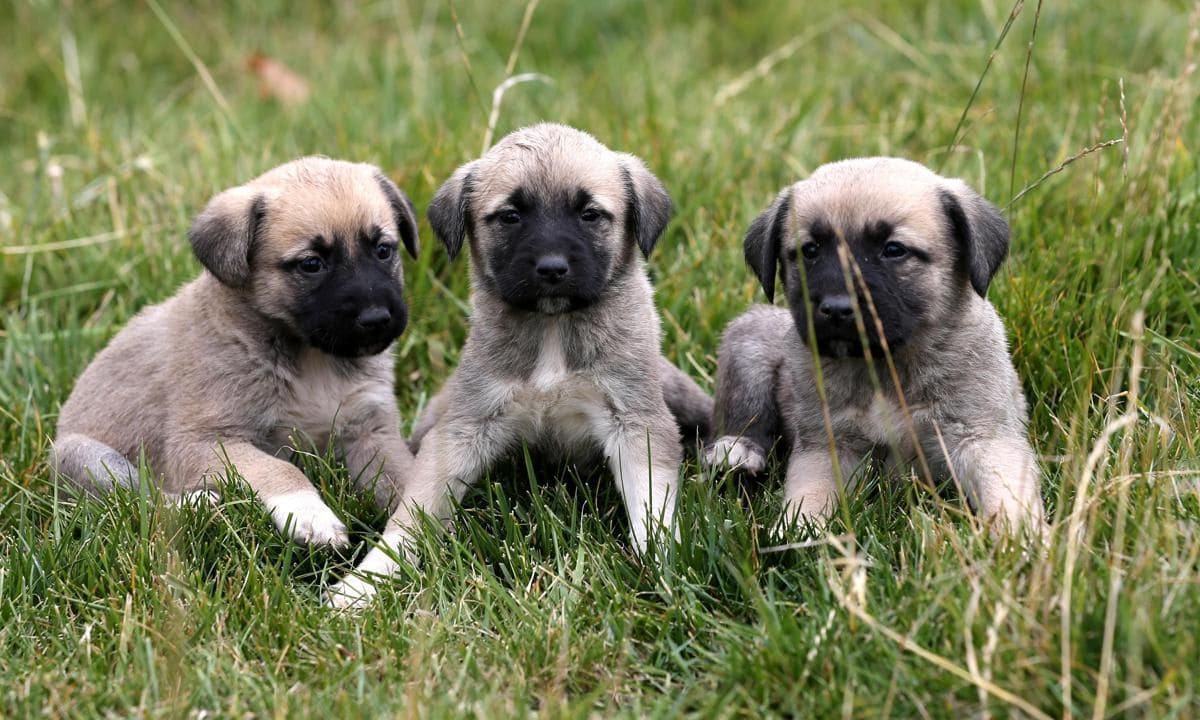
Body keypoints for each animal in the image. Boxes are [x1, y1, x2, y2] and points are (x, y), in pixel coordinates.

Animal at [54, 157, 424, 544]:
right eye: (311, 264)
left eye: (383, 250)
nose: (377, 318)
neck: (312, 360)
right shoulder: (203, 441)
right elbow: (277, 468)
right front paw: (310, 514)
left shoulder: (372, 432)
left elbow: (408, 479)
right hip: (81, 456)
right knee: (145, 502)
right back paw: (198, 504)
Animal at [326, 123, 710, 607]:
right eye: (510, 216)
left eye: (590, 214)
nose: (552, 268)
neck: (552, 328)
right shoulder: (464, 427)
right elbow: (414, 513)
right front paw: (365, 583)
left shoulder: (636, 420)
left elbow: (651, 506)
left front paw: (664, 570)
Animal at [705, 157, 1046, 535]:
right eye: (810, 251)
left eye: (893, 250)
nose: (836, 309)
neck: (885, 365)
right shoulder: (829, 444)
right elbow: (809, 495)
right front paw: (797, 534)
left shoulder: (982, 436)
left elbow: (1006, 496)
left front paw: (1025, 540)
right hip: (749, 342)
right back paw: (737, 452)